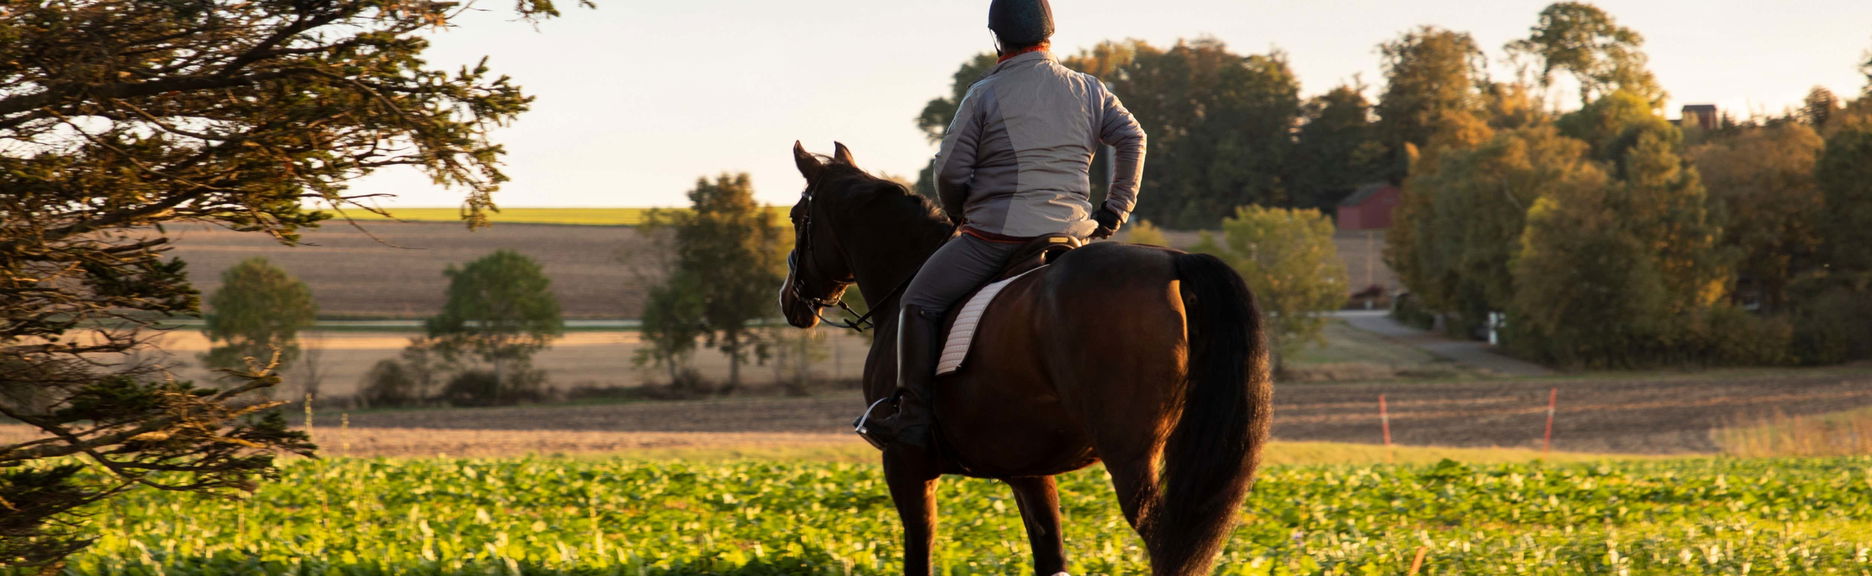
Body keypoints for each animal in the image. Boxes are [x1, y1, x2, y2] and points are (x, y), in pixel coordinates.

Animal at [778, 141, 1273, 576]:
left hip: (1132, 460)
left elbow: (919, 559)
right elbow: (1050, 559)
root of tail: (1172, 263)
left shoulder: (905, 465)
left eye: (796, 217)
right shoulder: (1028, 473)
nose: (790, 300)